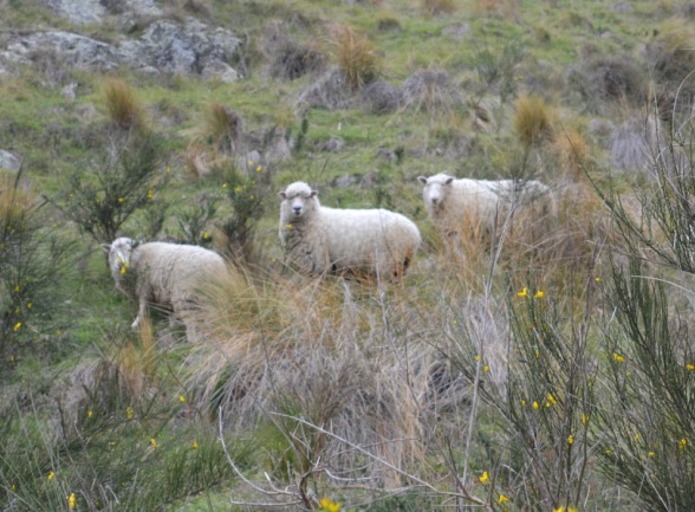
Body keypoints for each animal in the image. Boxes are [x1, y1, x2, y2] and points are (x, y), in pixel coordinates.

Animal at [278, 182, 422, 282]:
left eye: (307, 197)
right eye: (289, 197)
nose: (297, 208)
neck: (315, 218)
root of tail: (413, 231)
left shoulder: (318, 262)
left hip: (388, 262)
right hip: (402, 264)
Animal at [418, 173, 556, 249]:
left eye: (443, 184)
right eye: (428, 185)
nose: (434, 199)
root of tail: (546, 188)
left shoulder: (463, 230)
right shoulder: (448, 231)